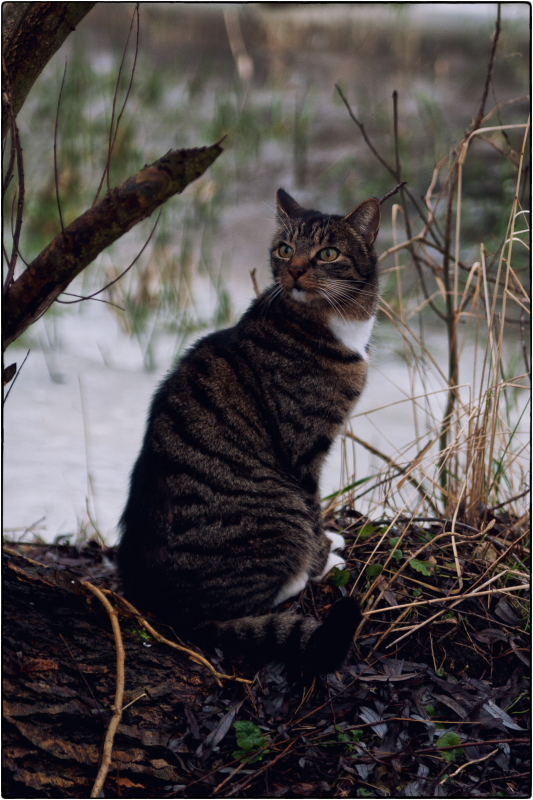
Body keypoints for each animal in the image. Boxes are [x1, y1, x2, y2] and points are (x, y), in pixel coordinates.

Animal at [119, 189, 380, 676]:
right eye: (285, 250)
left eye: (328, 253)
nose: (294, 270)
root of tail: (177, 613)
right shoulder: (304, 451)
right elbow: (315, 509)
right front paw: (323, 553)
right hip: (279, 509)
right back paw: (304, 571)